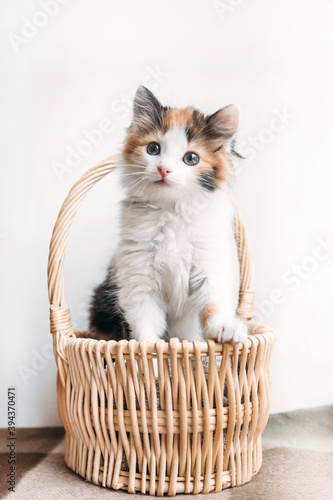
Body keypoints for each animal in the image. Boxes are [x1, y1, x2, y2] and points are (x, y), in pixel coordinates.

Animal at [88, 87, 246, 344]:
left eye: (191, 158)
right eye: (153, 149)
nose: (164, 169)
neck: (172, 210)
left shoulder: (210, 260)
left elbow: (214, 298)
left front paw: (224, 327)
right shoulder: (137, 272)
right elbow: (144, 315)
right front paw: (148, 346)